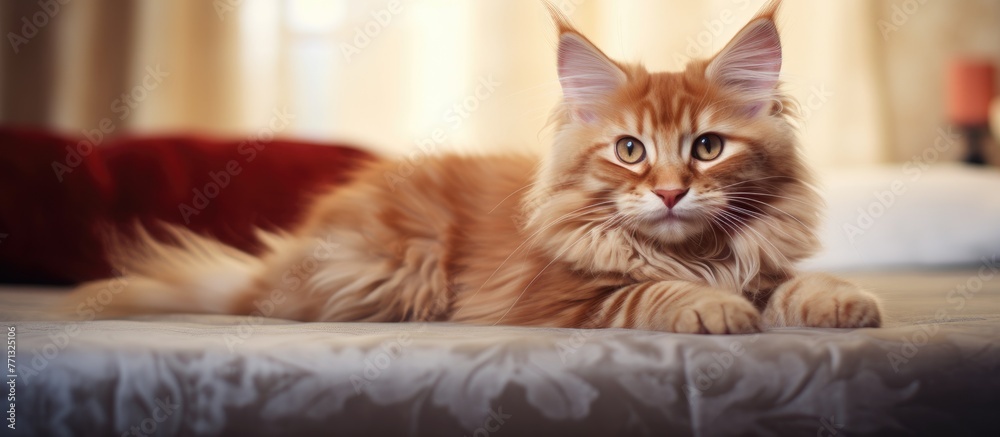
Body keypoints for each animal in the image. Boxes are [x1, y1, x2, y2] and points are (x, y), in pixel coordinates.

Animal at [70, 0, 884, 334]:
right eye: (630, 151)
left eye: (707, 148)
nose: (670, 192)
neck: (695, 254)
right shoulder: (562, 302)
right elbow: (651, 294)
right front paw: (714, 309)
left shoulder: (765, 264)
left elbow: (796, 284)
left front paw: (843, 300)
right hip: (403, 272)